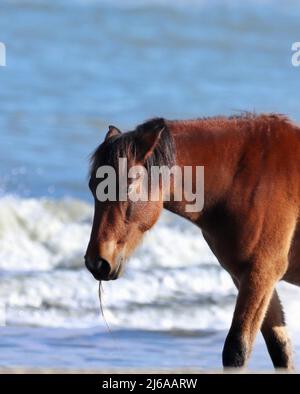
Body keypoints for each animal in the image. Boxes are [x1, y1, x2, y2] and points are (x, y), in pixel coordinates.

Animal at [84, 113, 300, 370]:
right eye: (92, 186)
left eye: (129, 184)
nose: (97, 262)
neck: (248, 177)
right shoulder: (248, 278)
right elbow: (280, 349)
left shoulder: (261, 274)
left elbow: (237, 350)